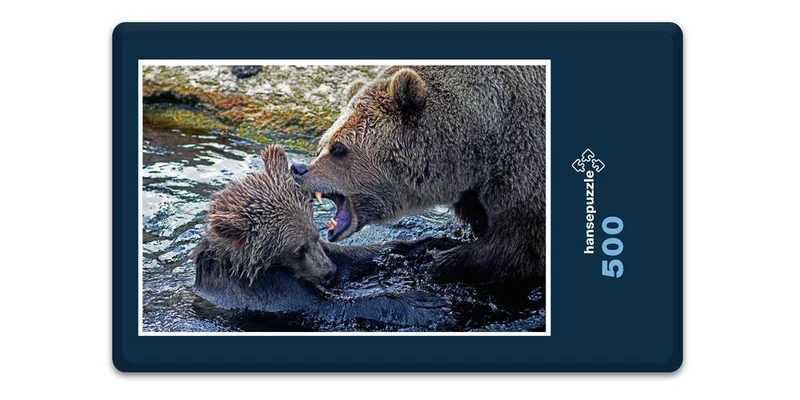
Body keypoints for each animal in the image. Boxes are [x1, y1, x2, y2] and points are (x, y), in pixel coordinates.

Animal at [192, 145, 453, 327]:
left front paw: (429, 243)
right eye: (297, 249)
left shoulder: (325, 254)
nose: (329, 272)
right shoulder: (268, 293)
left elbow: (353, 258)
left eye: (316, 236)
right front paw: (425, 304)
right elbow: (328, 306)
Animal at [291, 65, 546, 284]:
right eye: (322, 145)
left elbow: (521, 241)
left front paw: (442, 260)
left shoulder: (523, 158)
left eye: (338, 149)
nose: (298, 169)